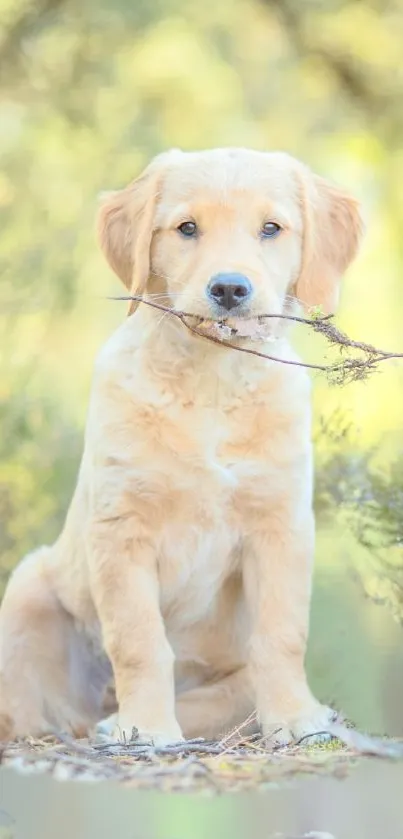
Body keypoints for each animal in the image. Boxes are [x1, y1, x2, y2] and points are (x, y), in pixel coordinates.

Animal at [0, 151, 362, 748]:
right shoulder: (121, 529)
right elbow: (140, 641)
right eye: (187, 228)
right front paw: (146, 728)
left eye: (271, 228)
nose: (230, 289)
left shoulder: (281, 525)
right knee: (32, 708)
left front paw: (294, 718)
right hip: (28, 588)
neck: (213, 378)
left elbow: (282, 634)